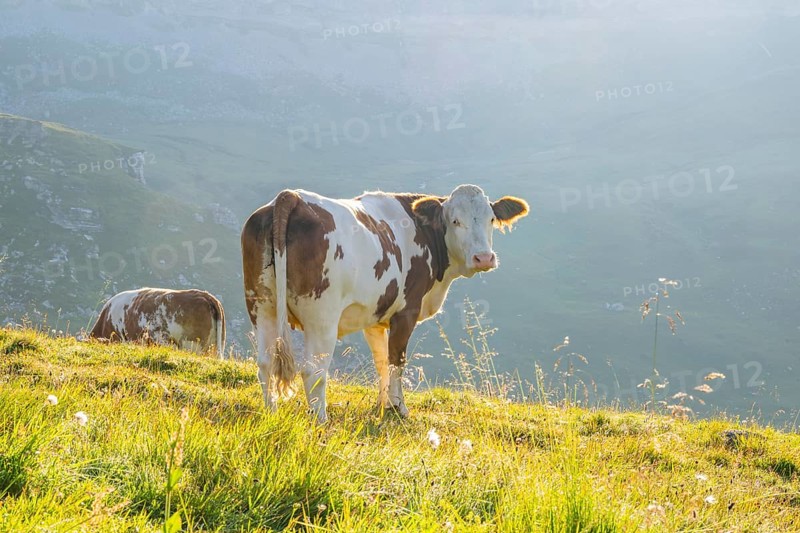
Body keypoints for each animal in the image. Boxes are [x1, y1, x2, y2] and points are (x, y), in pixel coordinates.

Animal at [241, 184, 529, 423]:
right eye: (455, 221)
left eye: (491, 219)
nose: (484, 258)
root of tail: (292, 197)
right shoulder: (406, 311)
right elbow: (396, 361)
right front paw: (398, 407)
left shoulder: (375, 317)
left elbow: (381, 361)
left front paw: (382, 403)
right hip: (321, 317)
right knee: (313, 370)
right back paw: (320, 419)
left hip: (261, 304)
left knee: (265, 362)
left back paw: (270, 411)